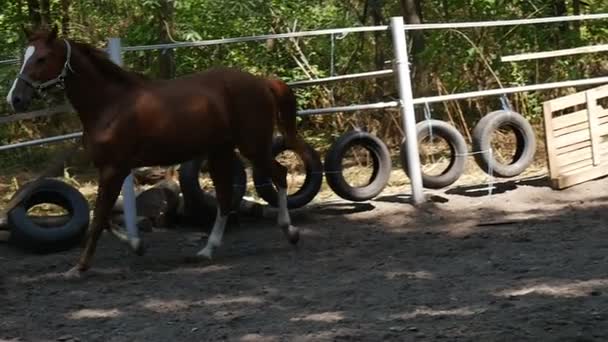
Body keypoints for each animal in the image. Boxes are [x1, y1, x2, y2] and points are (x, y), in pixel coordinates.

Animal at [7, 26, 306, 278]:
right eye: (25, 57)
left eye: (42, 58)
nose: (15, 99)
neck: (109, 105)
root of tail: (261, 81)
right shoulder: (109, 168)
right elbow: (101, 216)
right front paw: (137, 245)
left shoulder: (114, 169)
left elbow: (99, 217)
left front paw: (80, 267)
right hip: (220, 151)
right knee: (224, 198)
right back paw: (206, 251)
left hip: (252, 145)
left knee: (279, 175)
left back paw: (290, 232)